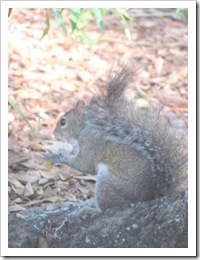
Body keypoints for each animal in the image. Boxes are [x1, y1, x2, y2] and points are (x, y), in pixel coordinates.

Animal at [44, 60, 188, 211]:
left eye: (63, 121)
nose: (54, 133)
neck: (84, 128)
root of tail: (147, 198)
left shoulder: (91, 145)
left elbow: (84, 166)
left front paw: (56, 157)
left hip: (107, 184)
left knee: (107, 208)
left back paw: (90, 209)